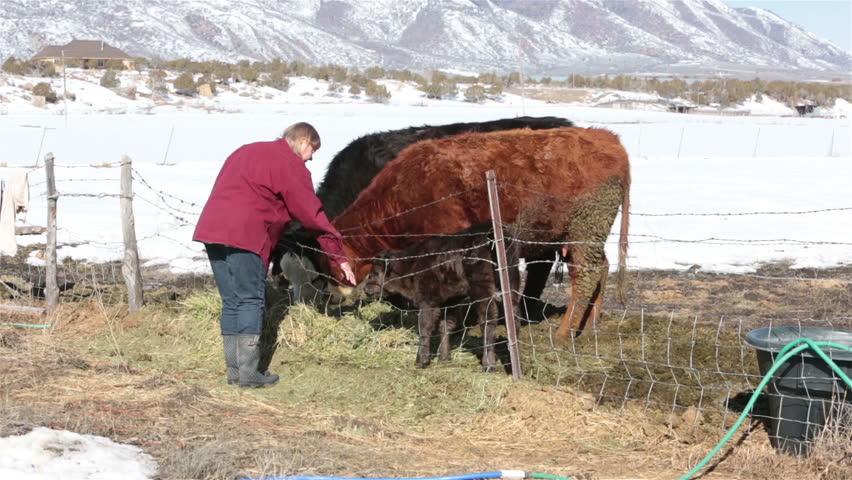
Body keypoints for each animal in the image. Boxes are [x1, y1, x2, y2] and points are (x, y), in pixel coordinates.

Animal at [326, 127, 630, 339]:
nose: (331, 299)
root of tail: (609, 139)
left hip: (585, 228)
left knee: (586, 276)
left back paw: (564, 333)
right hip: (577, 235)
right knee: (601, 268)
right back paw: (588, 328)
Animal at [362, 223, 520, 372]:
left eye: (375, 272)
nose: (365, 288)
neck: (412, 266)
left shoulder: (427, 300)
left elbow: (425, 327)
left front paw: (421, 360)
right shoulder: (449, 301)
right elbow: (445, 325)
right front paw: (444, 357)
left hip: (482, 290)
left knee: (488, 320)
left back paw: (488, 364)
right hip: (512, 285)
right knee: (514, 316)